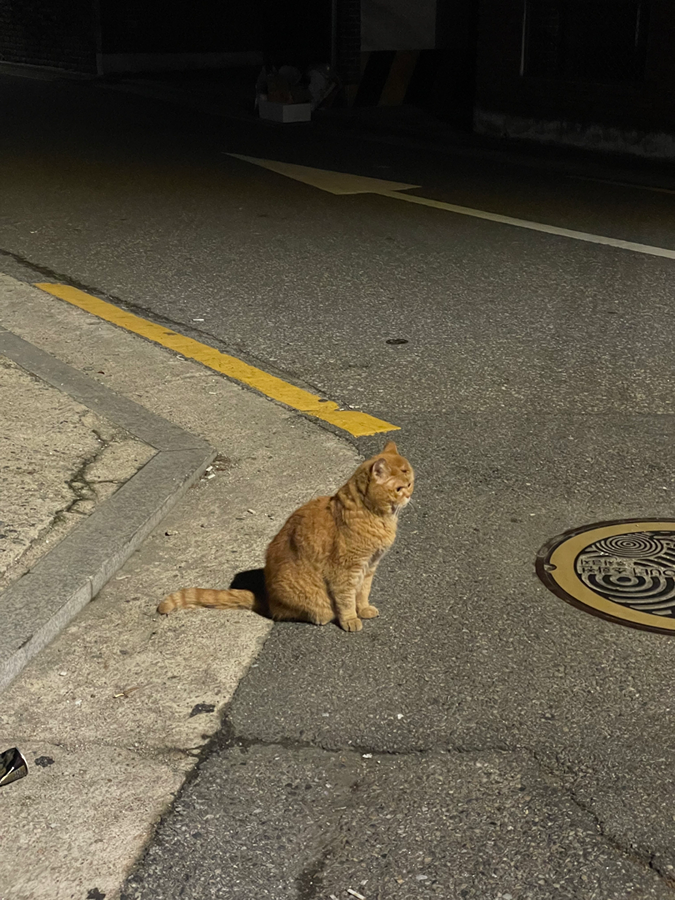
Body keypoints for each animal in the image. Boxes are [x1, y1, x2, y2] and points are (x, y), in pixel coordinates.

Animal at [160, 442, 412, 632]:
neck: (373, 515)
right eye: (399, 489)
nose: (409, 494)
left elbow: (363, 592)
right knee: (294, 612)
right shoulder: (345, 571)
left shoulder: (369, 566)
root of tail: (267, 597)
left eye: (410, 482)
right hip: (309, 597)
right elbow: (347, 599)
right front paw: (351, 619)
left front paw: (364, 609)